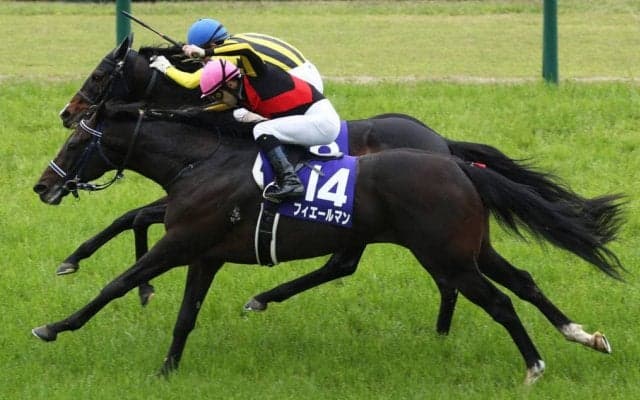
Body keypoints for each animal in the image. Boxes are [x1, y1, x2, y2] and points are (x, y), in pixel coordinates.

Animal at [32, 103, 625, 383]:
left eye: (79, 140)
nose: (43, 185)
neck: (200, 163)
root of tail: (456, 162)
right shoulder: (205, 254)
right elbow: (185, 315)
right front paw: (167, 370)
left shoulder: (180, 243)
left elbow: (118, 283)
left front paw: (54, 326)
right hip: (470, 249)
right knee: (522, 282)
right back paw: (582, 335)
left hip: (448, 257)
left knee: (499, 301)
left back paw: (534, 366)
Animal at [54, 35, 623, 333]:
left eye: (100, 76)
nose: (67, 112)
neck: (217, 122)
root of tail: (442, 145)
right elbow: (133, 216)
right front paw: (108, 271)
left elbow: (135, 216)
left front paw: (104, 272)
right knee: (375, 267)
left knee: (367, 266)